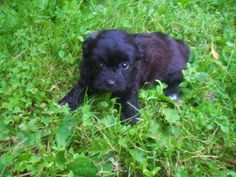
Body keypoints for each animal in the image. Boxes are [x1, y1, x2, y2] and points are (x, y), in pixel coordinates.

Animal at [59, 29, 190, 124]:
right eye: (99, 64)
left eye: (125, 65)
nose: (110, 83)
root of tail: (179, 45)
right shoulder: (86, 78)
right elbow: (77, 91)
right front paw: (66, 104)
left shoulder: (129, 85)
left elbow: (129, 101)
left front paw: (131, 119)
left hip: (171, 69)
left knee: (179, 79)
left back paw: (172, 93)